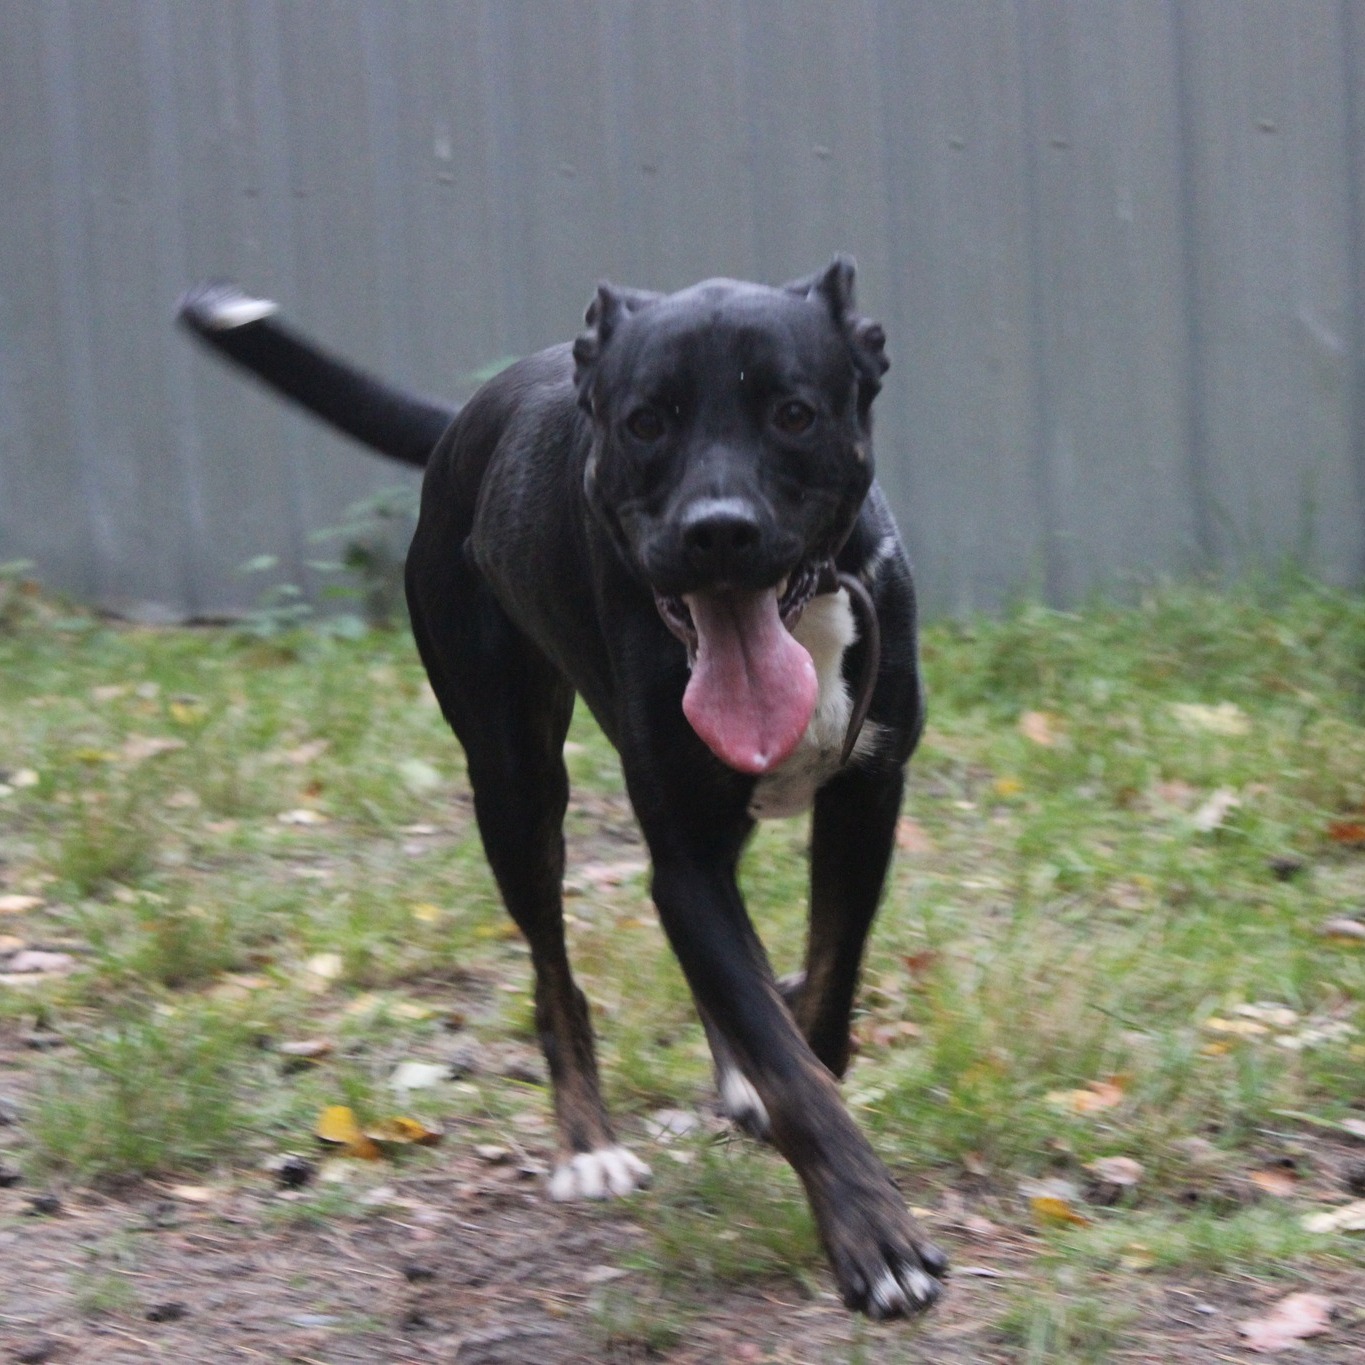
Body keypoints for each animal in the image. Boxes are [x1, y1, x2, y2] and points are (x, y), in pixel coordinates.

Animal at [178, 258, 946, 1317]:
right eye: (645, 422)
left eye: (793, 413)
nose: (718, 534)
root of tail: (474, 411)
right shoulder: (685, 854)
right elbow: (789, 1061)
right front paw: (874, 1238)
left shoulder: (866, 798)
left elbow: (823, 995)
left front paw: (799, 1083)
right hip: (513, 785)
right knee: (554, 976)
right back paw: (589, 1145)